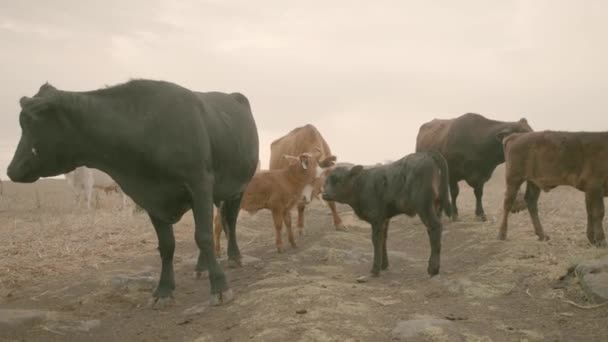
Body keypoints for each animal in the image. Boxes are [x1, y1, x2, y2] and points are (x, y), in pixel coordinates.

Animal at [7, 80, 258, 308]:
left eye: (32, 124)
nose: (10, 170)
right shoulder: (152, 196)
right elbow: (167, 245)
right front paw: (164, 290)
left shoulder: (200, 184)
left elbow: (203, 236)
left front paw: (220, 287)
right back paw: (201, 266)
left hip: (238, 187)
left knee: (229, 221)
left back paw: (234, 257)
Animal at [324, 152, 452, 278]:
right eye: (326, 181)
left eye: (339, 180)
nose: (325, 194)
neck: (362, 185)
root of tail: (428, 154)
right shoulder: (384, 218)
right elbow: (383, 239)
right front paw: (383, 265)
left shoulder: (376, 218)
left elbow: (376, 240)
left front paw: (375, 270)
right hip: (436, 206)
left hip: (424, 206)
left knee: (435, 227)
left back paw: (433, 268)